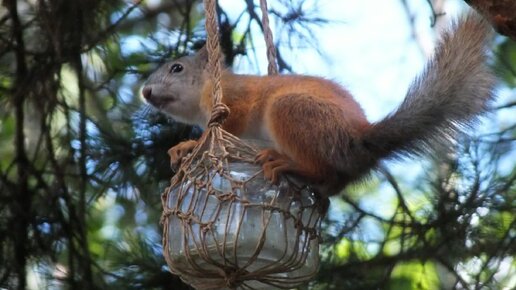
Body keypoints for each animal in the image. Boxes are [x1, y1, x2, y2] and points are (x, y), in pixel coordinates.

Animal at [141, 11, 496, 197]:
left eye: (177, 68)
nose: (144, 92)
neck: (204, 92)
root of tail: (359, 139)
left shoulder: (234, 97)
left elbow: (228, 122)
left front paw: (190, 145)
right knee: (331, 182)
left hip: (291, 110)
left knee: (320, 169)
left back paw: (287, 163)